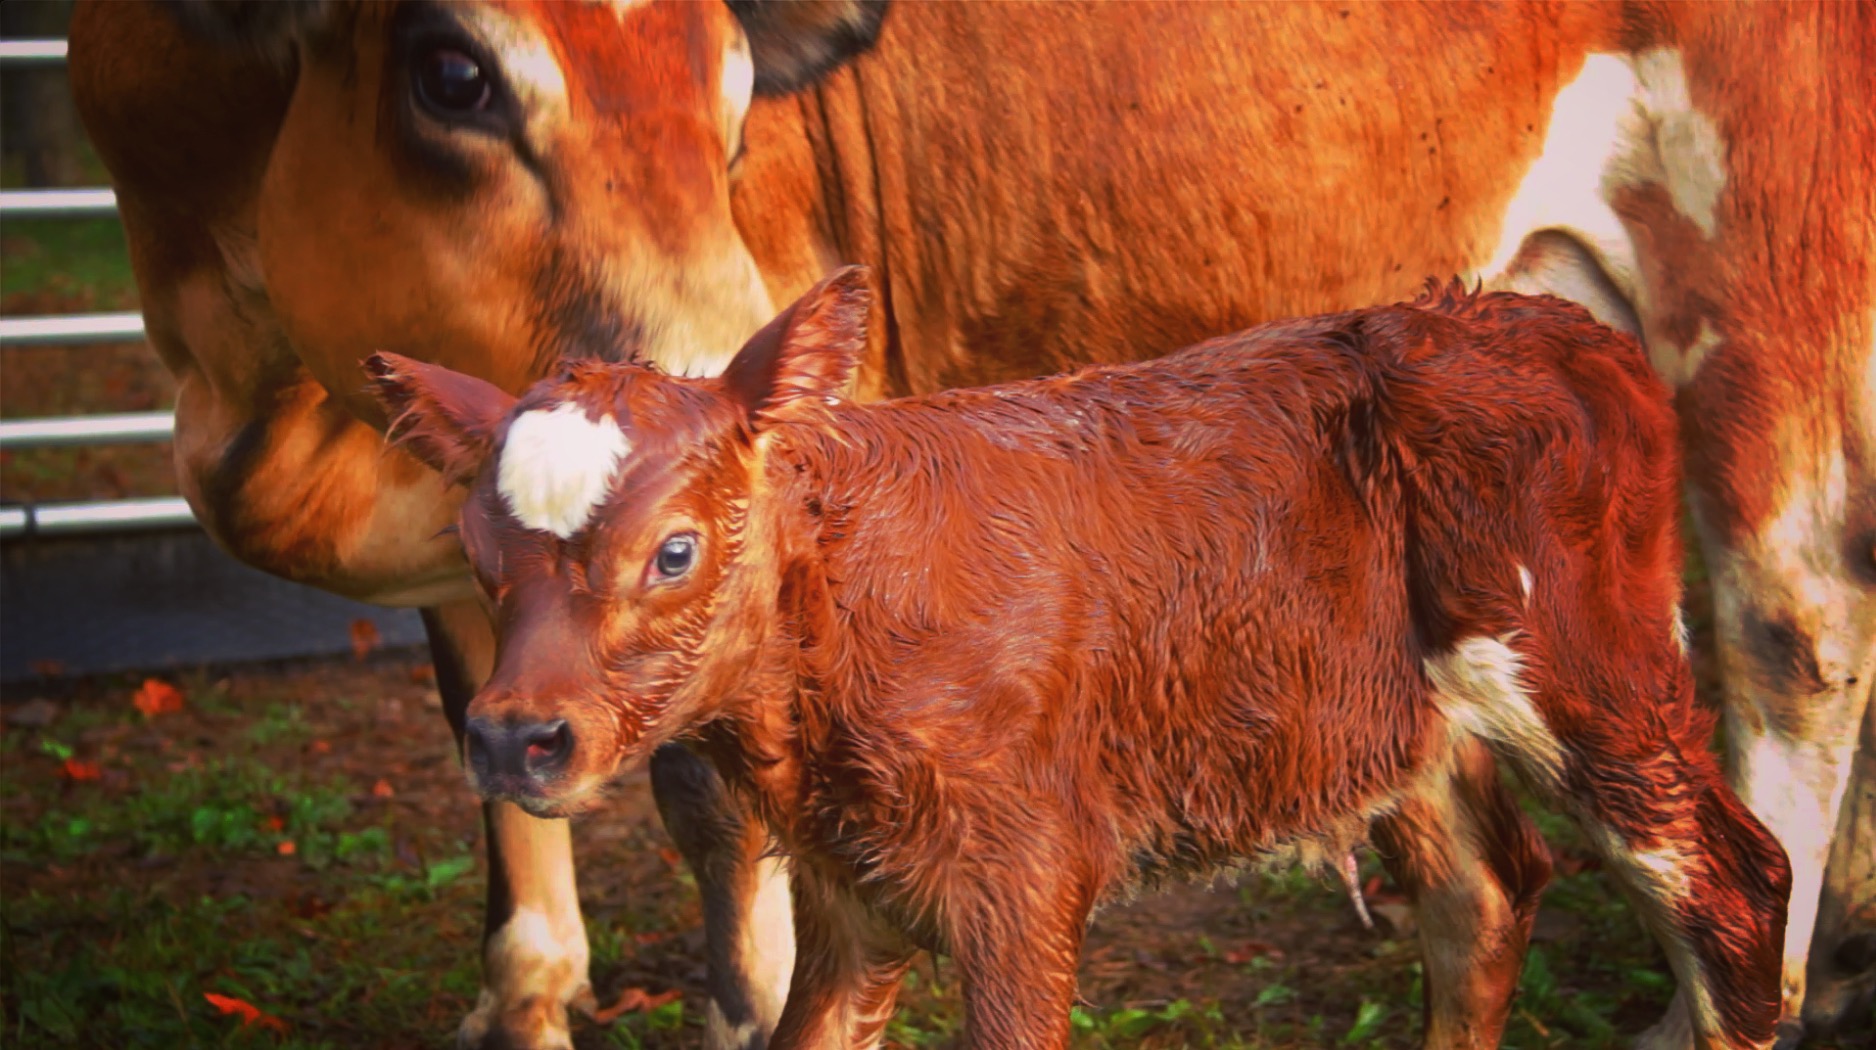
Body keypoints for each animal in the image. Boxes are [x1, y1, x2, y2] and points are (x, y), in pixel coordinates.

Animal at [364, 270, 1791, 1049]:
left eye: (673, 551)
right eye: (476, 549)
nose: (514, 737)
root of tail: (1552, 324)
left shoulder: (1021, 875)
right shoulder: (846, 892)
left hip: (1586, 665)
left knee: (1735, 885)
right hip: (1394, 724)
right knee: (1484, 897)